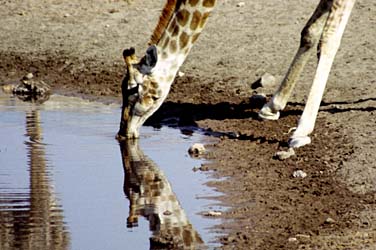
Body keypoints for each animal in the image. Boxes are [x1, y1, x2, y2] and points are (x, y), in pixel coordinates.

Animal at [117, 0, 356, 148]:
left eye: (133, 89)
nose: (123, 132)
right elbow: (310, 31)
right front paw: (272, 106)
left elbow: (329, 38)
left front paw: (301, 131)